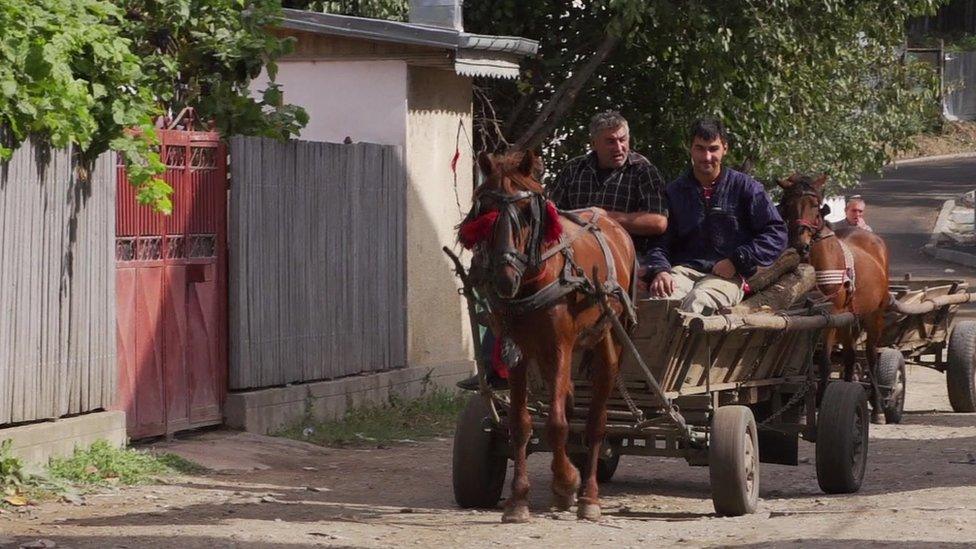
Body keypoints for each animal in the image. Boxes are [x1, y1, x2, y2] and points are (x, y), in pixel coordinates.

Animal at [462, 150, 636, 524]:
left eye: (527, 212)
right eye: (484, 212)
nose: (504, 278)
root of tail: (613, 224)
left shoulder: (560, 347)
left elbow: (556, 423)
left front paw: (567, 481)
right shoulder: (518, 352)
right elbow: (520, 424)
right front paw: (518, 500)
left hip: (607, 340)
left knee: (596, 419)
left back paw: (588, 495)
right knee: (569, 403)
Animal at [776, 173, 892, 414]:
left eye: (815, 206)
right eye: (787, 205)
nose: (800, 245)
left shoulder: (829, 317)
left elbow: (824, 362)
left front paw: (820, 401)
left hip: (874, 315)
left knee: (870, 355)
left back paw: (877, 408)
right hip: (850, 319)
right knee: (849, 356)